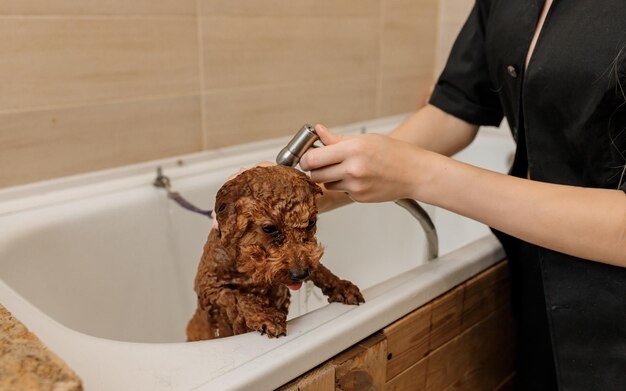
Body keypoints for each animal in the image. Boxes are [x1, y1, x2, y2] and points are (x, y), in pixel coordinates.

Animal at [185, 165, 364, 340]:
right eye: (269, 228)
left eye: (311, 222)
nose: (300, 274)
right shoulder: (209, 287)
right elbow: (237, 297)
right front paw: (265, 317)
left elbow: (319, 269)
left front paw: (341, 286)